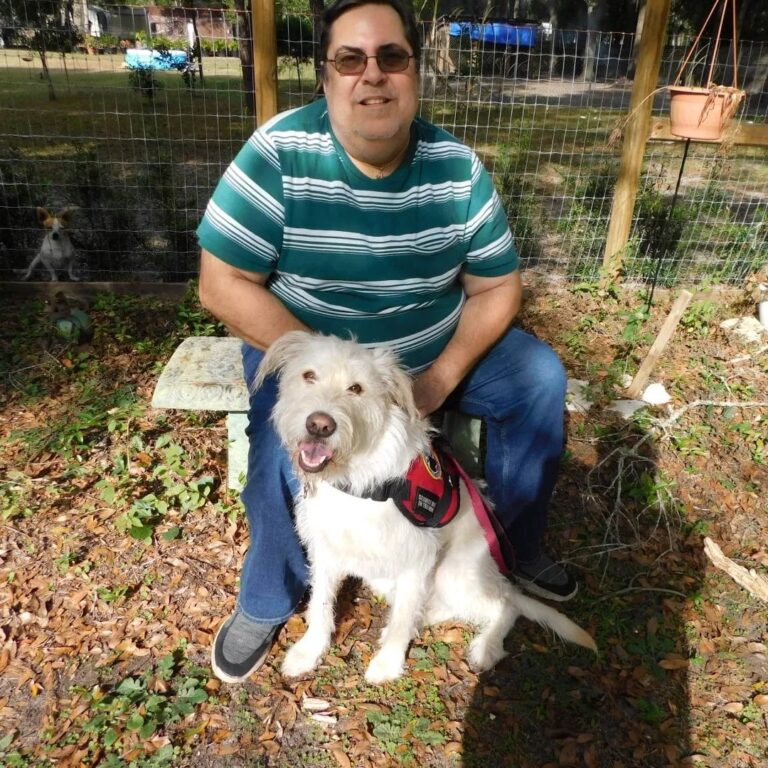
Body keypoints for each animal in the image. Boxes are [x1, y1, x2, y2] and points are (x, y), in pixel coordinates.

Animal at [255, 330, 596, 684]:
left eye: (357, 388)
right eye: (309, 376)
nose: (319, 425)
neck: (356, 477)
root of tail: (494, 574)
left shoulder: (416, 557)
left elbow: (403, 616)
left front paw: (388, 663)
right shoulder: (325, 549)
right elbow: (320, 604)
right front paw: (309, 651)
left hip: (451, 573)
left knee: (506, 606)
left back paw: (485, 646)